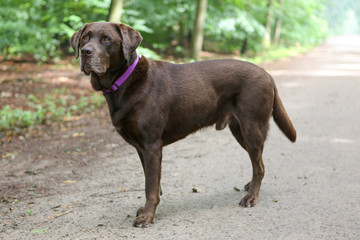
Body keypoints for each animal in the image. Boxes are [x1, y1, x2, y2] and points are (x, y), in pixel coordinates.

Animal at [70, 22, 296, 227]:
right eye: (85, 38)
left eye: (107, 39)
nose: (86, 52)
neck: (124, 82)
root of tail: (265, 72)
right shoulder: (141, 148)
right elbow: (152, 183)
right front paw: (146, 211)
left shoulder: (151, 146)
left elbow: (150, 187)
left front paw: (147, 217)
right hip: (239, 130)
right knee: (258, 163)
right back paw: (250, 186)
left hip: (252, 128)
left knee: (259, 165)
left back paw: (251, 197)